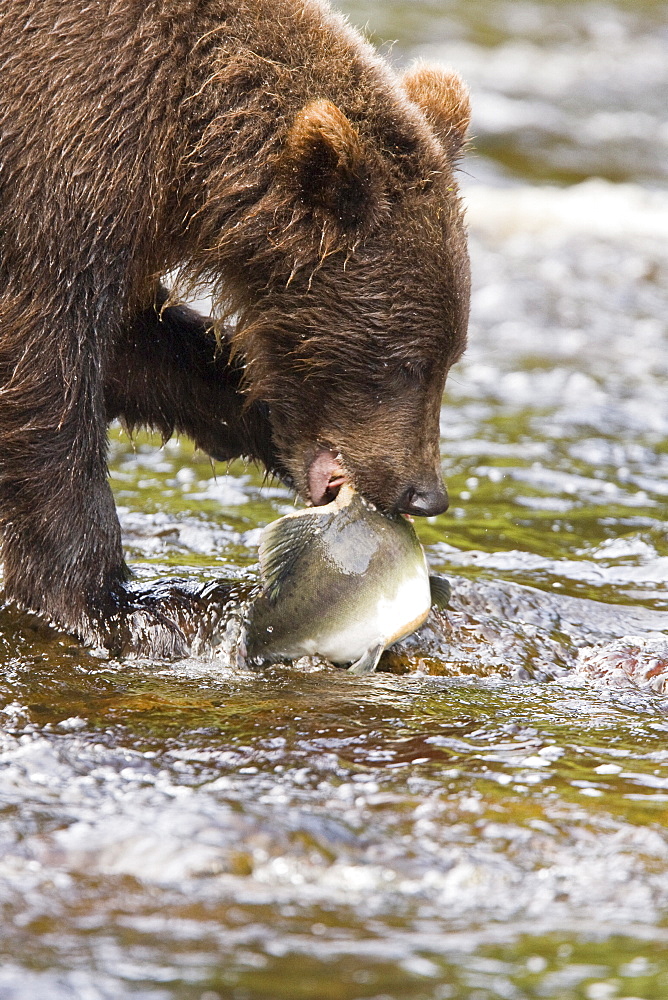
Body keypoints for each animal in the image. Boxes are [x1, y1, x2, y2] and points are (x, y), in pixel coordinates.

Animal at [0, 0, 470, 656]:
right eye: (405, 364)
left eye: (450, 360)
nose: (426, 493)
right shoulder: (62, 155)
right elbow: (44, 364)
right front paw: (120, 601)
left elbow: (136, 349)